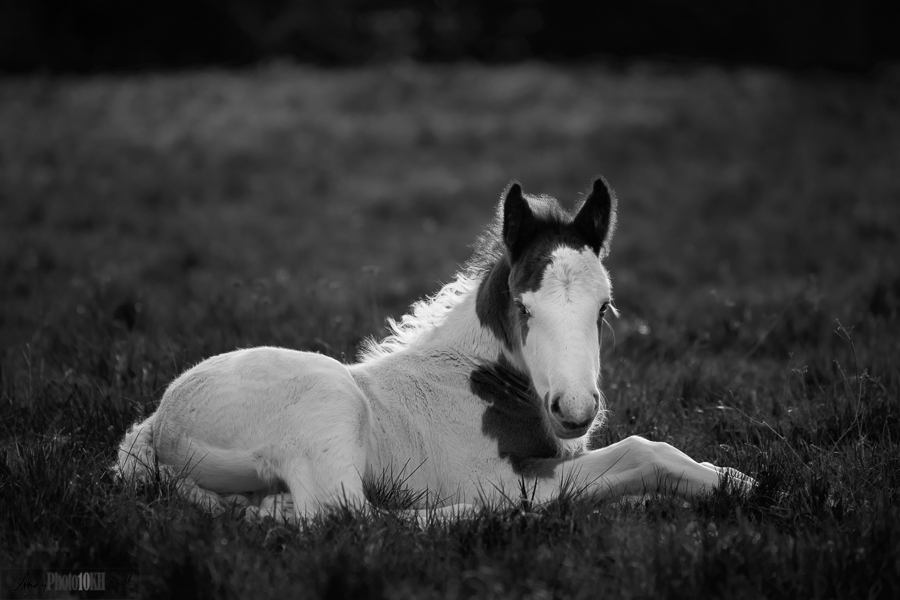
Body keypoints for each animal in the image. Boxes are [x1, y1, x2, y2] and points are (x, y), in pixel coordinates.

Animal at [116, 176, 756, 524]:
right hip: (328, 406)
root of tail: (156, 430)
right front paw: (744, 485)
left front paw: (732, 478)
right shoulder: (513, 471)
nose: (574, 411)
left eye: (603, 309)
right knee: (348, 518)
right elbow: (645, 452)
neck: (478, 381)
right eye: (524, 308)